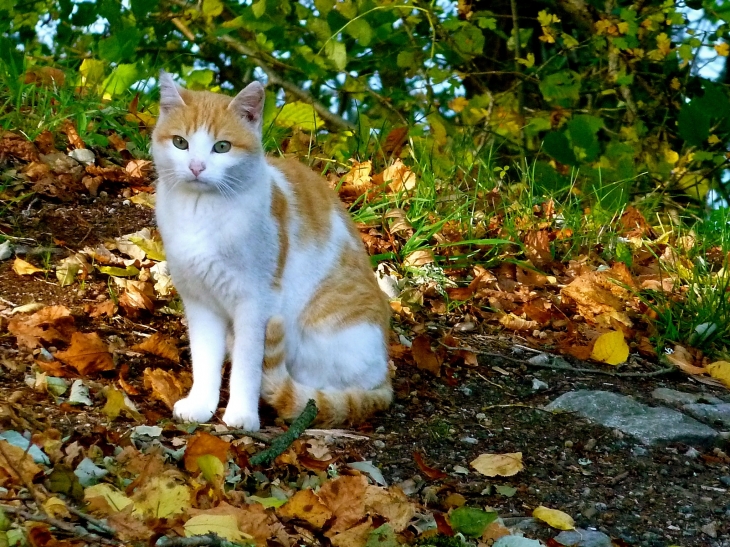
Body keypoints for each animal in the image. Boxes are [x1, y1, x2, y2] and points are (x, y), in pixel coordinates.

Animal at [151, 71, 392, 432]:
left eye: (221, 147)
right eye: (181, 143)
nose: (196, 167)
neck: (201, 213)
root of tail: (385, 376)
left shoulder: (256, 304)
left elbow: (248, 366)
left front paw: (242, 415)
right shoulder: (200, 301)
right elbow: (205, 359)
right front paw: (201, 405)